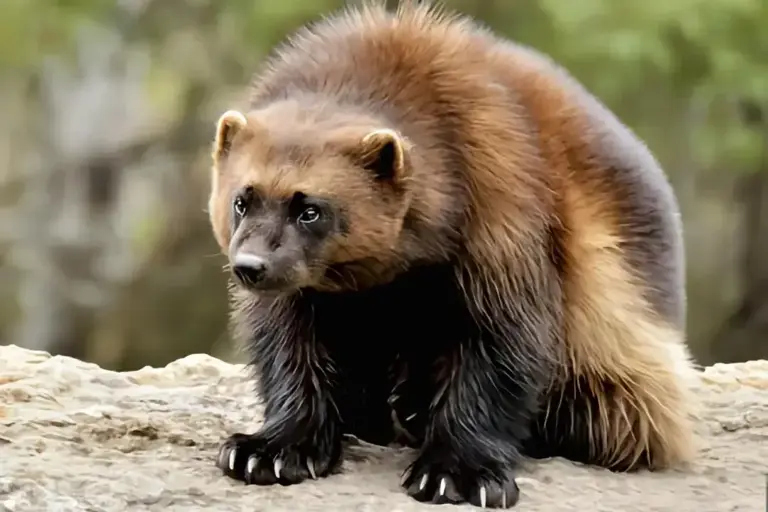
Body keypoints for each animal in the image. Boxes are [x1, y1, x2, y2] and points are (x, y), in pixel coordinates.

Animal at [207, 1, 699, 508]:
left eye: (309, 210)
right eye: (242, 200)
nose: (251, 266)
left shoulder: (499, 204)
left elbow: (501, 343)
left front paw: (459, 470)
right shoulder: (302, 291)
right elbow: (289, 347)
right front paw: (270, 448)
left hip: (620, 345)